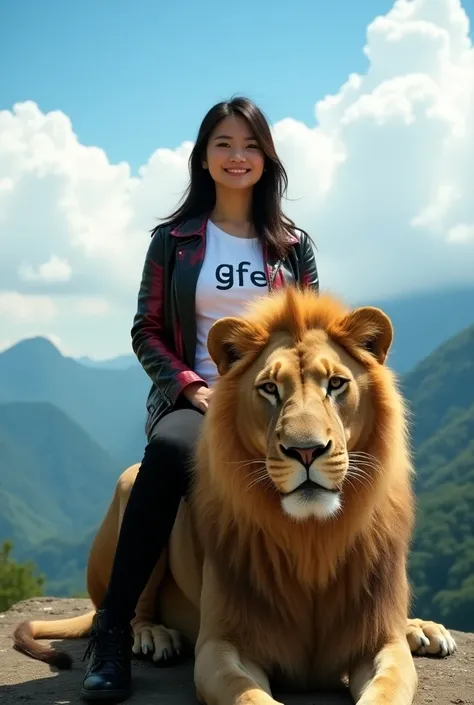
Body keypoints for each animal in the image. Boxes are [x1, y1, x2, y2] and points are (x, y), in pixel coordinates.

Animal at [12, 288, 456, 704]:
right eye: (269, 389)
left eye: (336, 384)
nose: (306, 451)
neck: (311, 539)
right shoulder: (222, 646)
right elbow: (249, 695)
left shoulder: (382, 643)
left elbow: (386, 690)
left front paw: (414, 630)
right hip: (129, 483)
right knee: (129, 602)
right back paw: (150, 637)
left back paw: (424, 630)